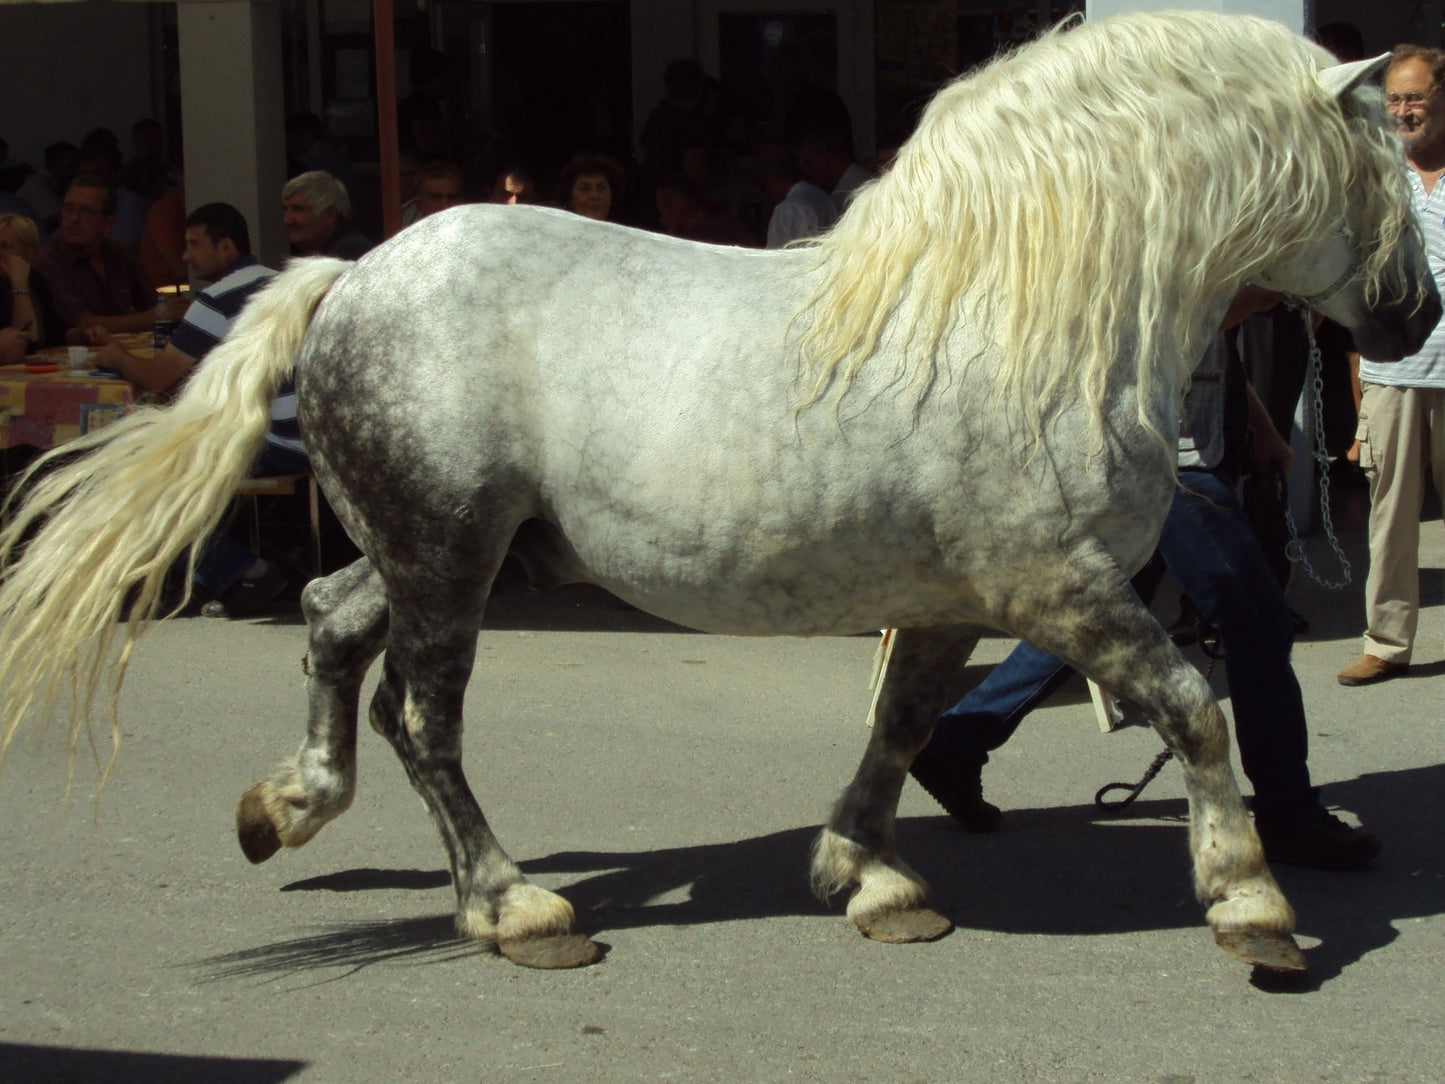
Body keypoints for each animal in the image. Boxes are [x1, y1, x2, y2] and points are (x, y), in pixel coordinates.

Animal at [0, 12, 1436, 973]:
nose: (1414, 315)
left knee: (328, 618)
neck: (1013, 318)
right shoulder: (1066, 591)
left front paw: (868, 880)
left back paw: (288, 805)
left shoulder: (948, 600)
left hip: (452, 549)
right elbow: (1196, 708)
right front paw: (1251, 906)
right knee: (420, 714)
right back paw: (513, 907)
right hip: (450, 558)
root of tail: (351, 272)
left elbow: (900, 729)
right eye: (1384, 159)